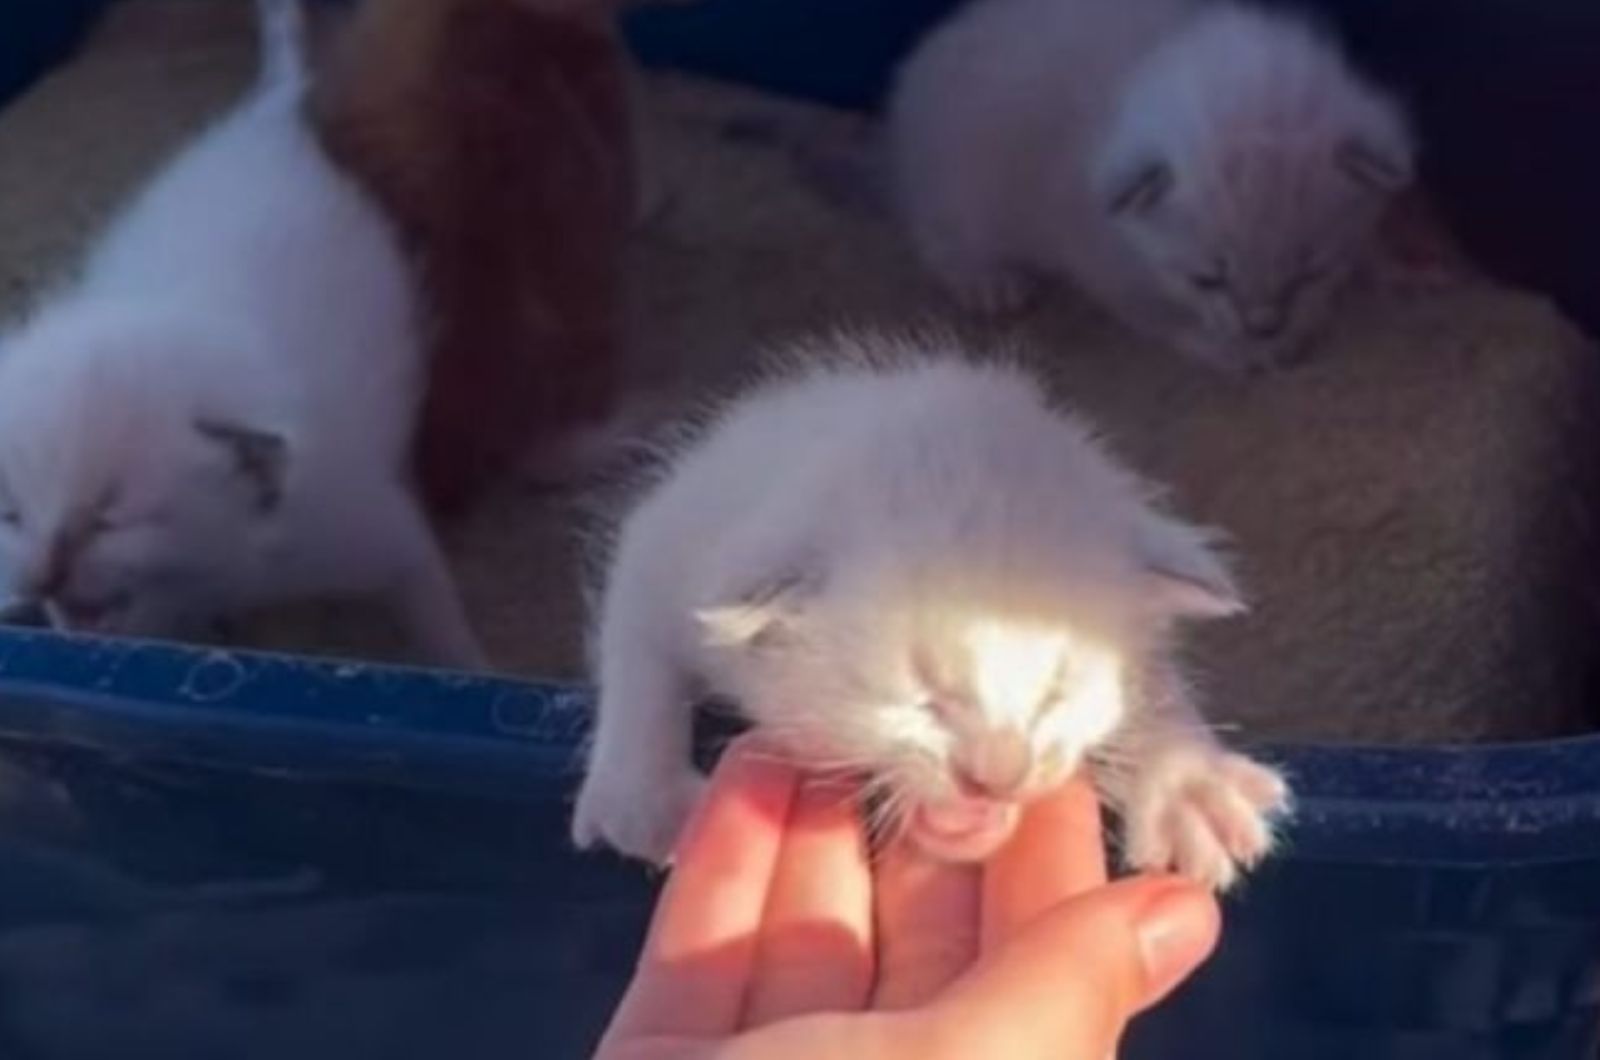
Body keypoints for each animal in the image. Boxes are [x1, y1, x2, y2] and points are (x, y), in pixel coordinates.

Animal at [0, 2, 480, 672]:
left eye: (108, 517)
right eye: (11, 515)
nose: (41, 578)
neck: (227, 572)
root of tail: (270, 118)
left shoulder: (364, 523)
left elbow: (437, 617)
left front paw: (478, 666)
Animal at [569, 337, 1292, 890]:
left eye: (1056, 690)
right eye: (922, 699)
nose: (999, 775)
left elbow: (1149, 680)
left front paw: (1188, 785)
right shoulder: (672, 535)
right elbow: (639, 648)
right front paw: (648, 801)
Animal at [889, 0, 1414, 373]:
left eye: (1310, 271)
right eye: (1208, 278)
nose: (1264, 328)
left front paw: (1384, 265)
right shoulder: (1097, 251)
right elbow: (1157, 313)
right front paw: (1232, 350)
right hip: (958, 189)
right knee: (940, 238)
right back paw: (986, 281)